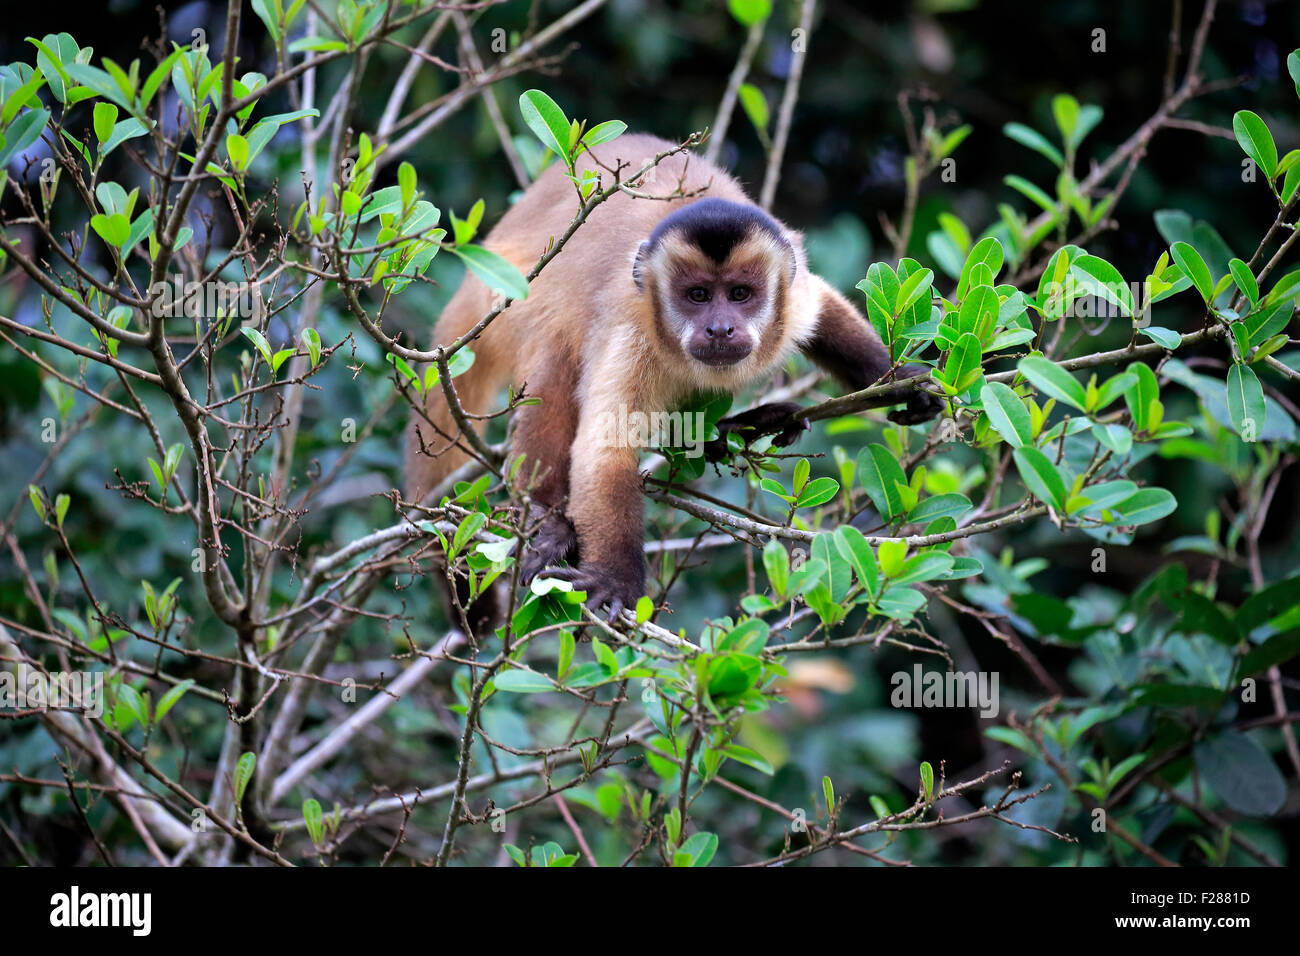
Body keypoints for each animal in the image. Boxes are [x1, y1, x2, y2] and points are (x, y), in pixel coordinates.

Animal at [403, 136, 935, 629]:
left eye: (740, 294)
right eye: (697, 296)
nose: (719, 329)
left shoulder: (794, 296)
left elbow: (823, 307)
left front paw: (899, 381)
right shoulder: (632, 329)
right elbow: (604, 450)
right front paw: (615, 578)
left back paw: (739, 429)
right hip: (505, 300)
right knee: (556, 355)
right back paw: (548, 521)